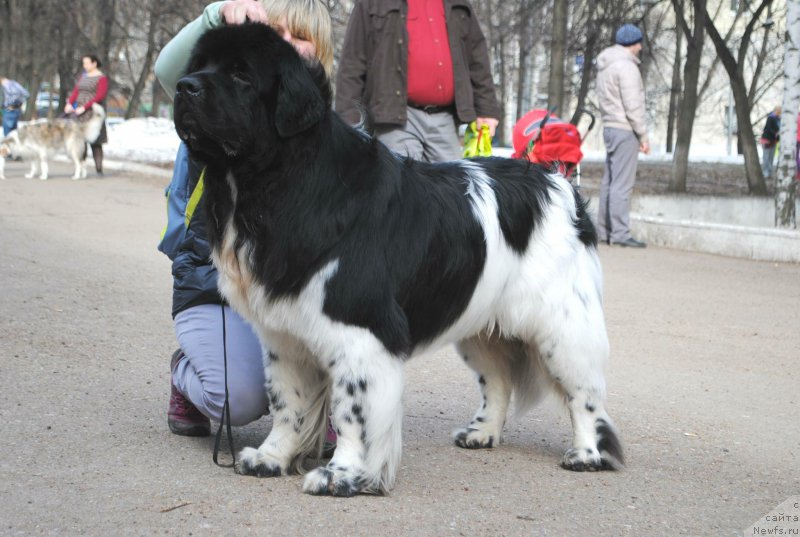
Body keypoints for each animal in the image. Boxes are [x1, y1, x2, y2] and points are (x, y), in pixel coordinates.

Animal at [173, 24, 624, 494]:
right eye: (199, 65)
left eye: (242, 76)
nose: (184, 87)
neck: (276, 183)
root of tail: (559, 182)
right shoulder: (284, 336)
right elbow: (287, 402)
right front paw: (271, 457)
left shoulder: (362, 333)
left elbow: (353, 412)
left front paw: (343, 474)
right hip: (479, 321)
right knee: (498, 380)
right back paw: (482, 432)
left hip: (562, 326)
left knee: (584, 394)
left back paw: (587, 454)